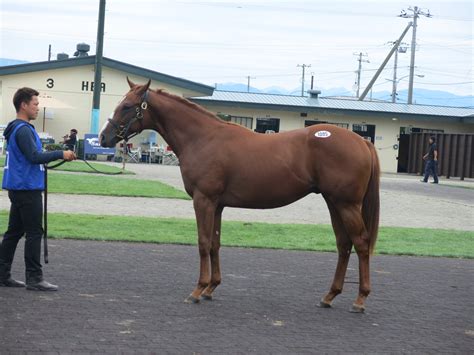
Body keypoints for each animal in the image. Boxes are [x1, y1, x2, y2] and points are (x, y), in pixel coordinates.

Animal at [100, 79, 382, 312]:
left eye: (126, 106)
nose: (103, 137)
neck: (203, 138)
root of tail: (361, 140)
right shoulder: (217, 205)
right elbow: (214, 243)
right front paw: (211, 287)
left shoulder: (203, 200)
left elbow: (203, 242)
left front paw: (197, 290)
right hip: (334, 203)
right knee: (344, 244)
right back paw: (329, 296)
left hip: (346, 204)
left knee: (361, 243)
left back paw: (360, 299)